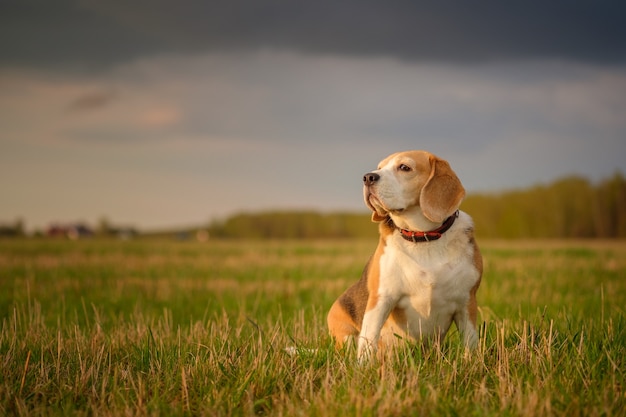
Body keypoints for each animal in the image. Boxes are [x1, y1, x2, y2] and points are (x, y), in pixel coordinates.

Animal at [326, 150, 482, 360]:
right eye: (380, 167)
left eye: (404, 167)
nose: (368, 177)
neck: (423, 237)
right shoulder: (381, 299)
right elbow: (368, 341)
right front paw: (363, 367)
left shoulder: (467, 302)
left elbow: (470, 342)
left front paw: (472, 363)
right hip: (345, 333)